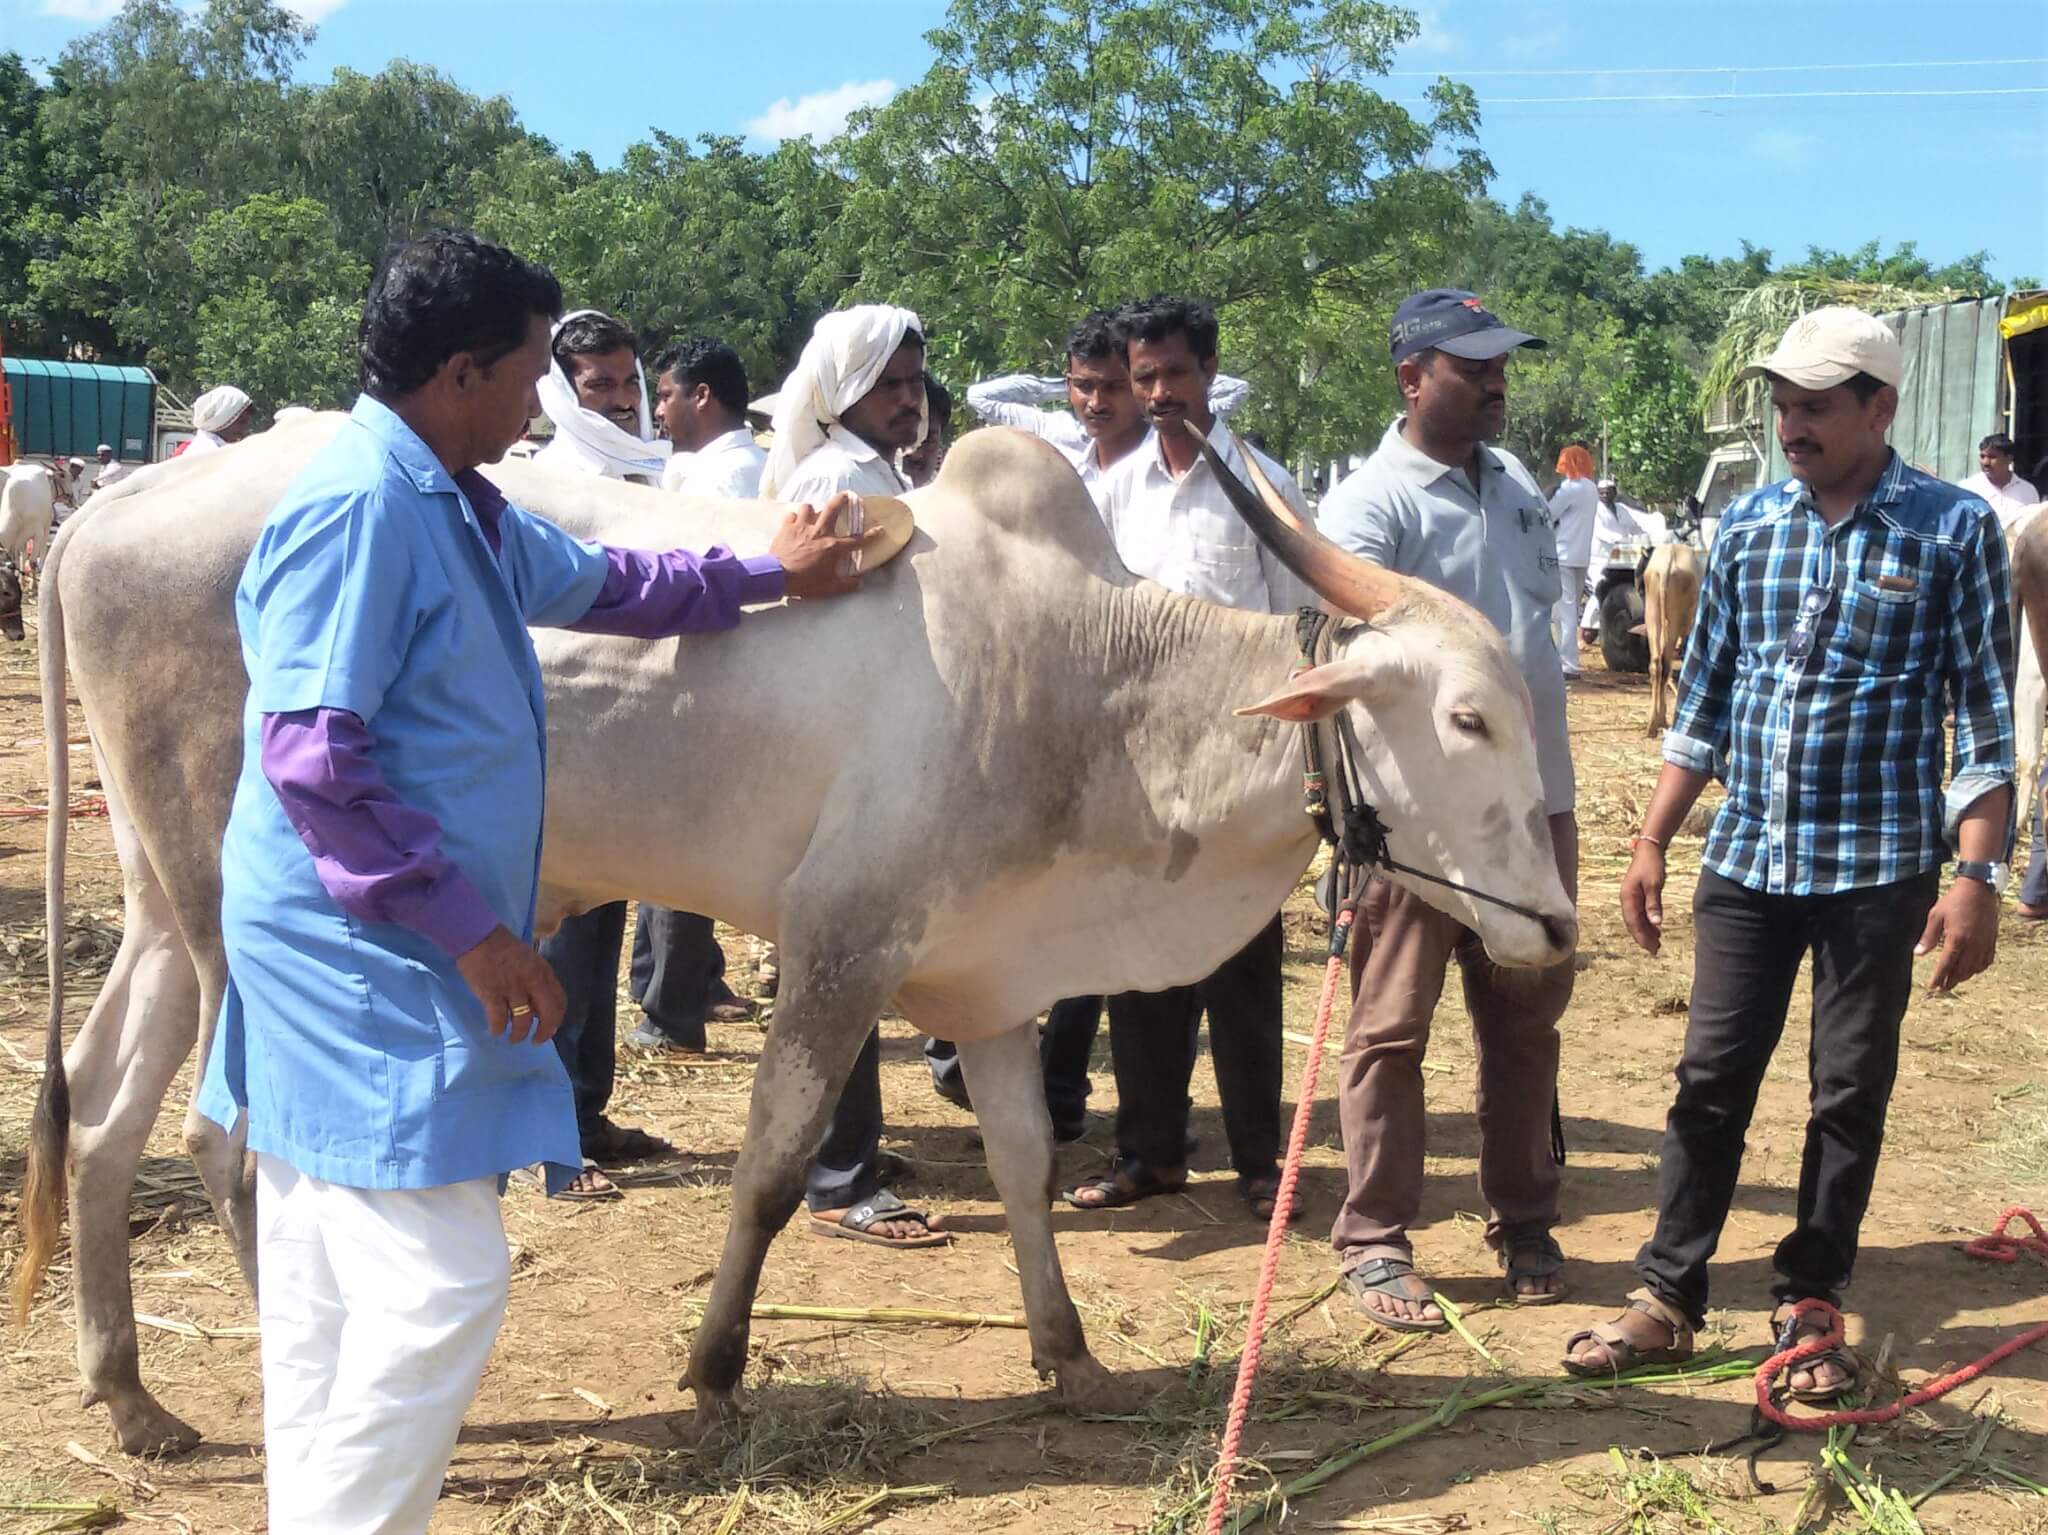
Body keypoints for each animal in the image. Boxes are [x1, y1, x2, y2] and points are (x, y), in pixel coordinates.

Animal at [16, 417, 1572, 1457]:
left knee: (103, 1111)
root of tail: (111, 508)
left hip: (163, 906)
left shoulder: (994, 978)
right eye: (1467, 717)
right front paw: (713, 1370)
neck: (1083, 684)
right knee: (225, 1137)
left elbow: (1024, 1164)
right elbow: (770, 1167)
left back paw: (133, 1395)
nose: (1555, 920)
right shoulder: (841, 942)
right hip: (245, 923)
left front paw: (1068, 1354)